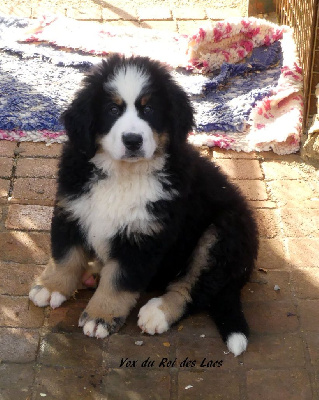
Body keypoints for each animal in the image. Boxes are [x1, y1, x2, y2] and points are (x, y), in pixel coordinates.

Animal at [29, 54, 260, 356]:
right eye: (112, 110)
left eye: (149, 109)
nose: (132, 140)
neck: (122, 174)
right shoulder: (72, 209)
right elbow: (65, 256)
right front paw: (52, 286)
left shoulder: (144, 236)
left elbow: (119, 281)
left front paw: (100, 316)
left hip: (221, 234)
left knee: (196, 288)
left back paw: (159, 311)